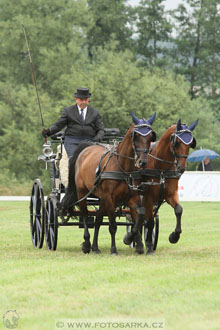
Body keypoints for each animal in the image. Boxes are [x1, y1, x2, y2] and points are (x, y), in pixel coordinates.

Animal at [60, 112, 156, 254]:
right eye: (136, 136)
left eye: (150, 137)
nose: (142, 162)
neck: (123, 167)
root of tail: (86, 148)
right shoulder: (110, 199)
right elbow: (112, 225)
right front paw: (114, 249)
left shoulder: (133, 197)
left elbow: (139, 216)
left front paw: (135, 242)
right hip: (82, 193)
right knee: (85, 215)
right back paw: (87, 244)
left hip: (102, 198)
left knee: (98, 219)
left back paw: (95, 247)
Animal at [124, 118, 198, 255]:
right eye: (177, 142)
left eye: (190, 143)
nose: (181, 168)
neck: (161, 167)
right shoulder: (148, 197)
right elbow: (150, 222)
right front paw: (149, 246)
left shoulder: (170, 194)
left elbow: (178, 210)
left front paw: (174, 236)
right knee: (135, 217)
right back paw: (135, 241)